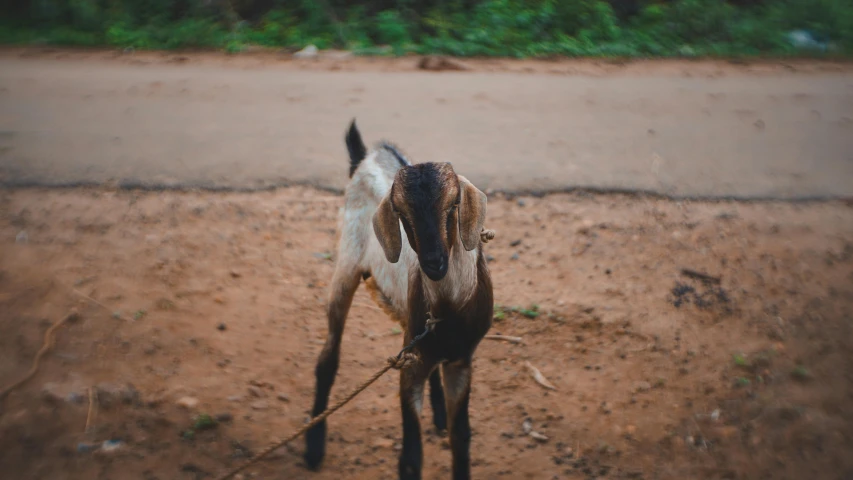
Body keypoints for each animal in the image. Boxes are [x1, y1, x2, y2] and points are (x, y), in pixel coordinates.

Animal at [304, 121, 492, 480]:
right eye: (402, 213)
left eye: (453, 205)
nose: (433, 262)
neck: (448, 310)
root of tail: (366, 155)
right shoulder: (409, 370)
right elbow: (410, 459)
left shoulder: (462, 360)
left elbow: (462, 439)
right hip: (346, 266)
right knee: (327, 358)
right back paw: (313, 445)